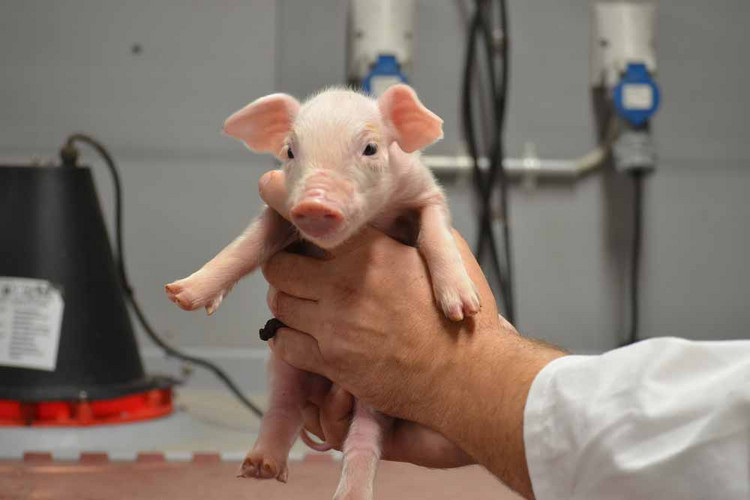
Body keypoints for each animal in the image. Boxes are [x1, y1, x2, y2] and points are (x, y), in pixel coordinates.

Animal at [165, 84, 480, 500]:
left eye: (370, 148)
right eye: (290, 151)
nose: (315, 201)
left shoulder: (426, 193)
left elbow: (435, 233)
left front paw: (463, 310)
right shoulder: (279, 212)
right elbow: (247, 246)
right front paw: (179, 294)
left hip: (376, 388)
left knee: (364, 438)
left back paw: (350, 494)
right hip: (285, 360)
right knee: (283, 405)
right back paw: (259, 469)